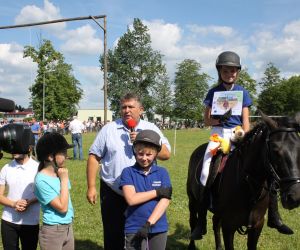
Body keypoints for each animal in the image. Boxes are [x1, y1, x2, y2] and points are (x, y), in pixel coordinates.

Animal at [188, 113, 300, 250]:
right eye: (275, 149)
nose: (295, 197)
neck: (249, 187)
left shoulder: (257, 226)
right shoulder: (229, 225)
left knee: (215, 222)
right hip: (192, 200)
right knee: (193, 221)